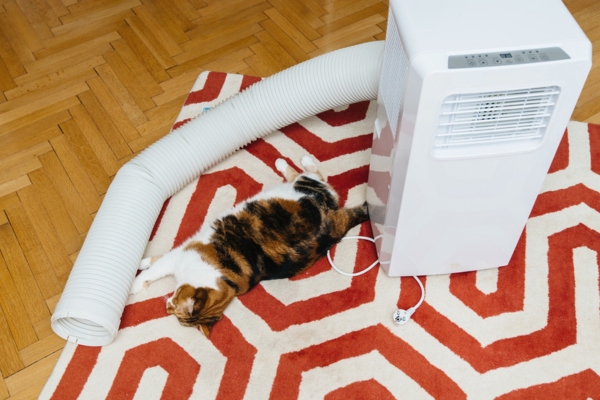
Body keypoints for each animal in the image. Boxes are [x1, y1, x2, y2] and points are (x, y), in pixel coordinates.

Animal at [129, 156, 368, 338]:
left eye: (176, 309)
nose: (166, 306)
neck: (224, 280)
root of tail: (333, 222)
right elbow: (156, 262)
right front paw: (143, 263)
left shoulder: (184, 253)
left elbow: (155, 268)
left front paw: (135, 282)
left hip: (303, 187)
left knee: (313, 174)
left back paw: (293, 161)